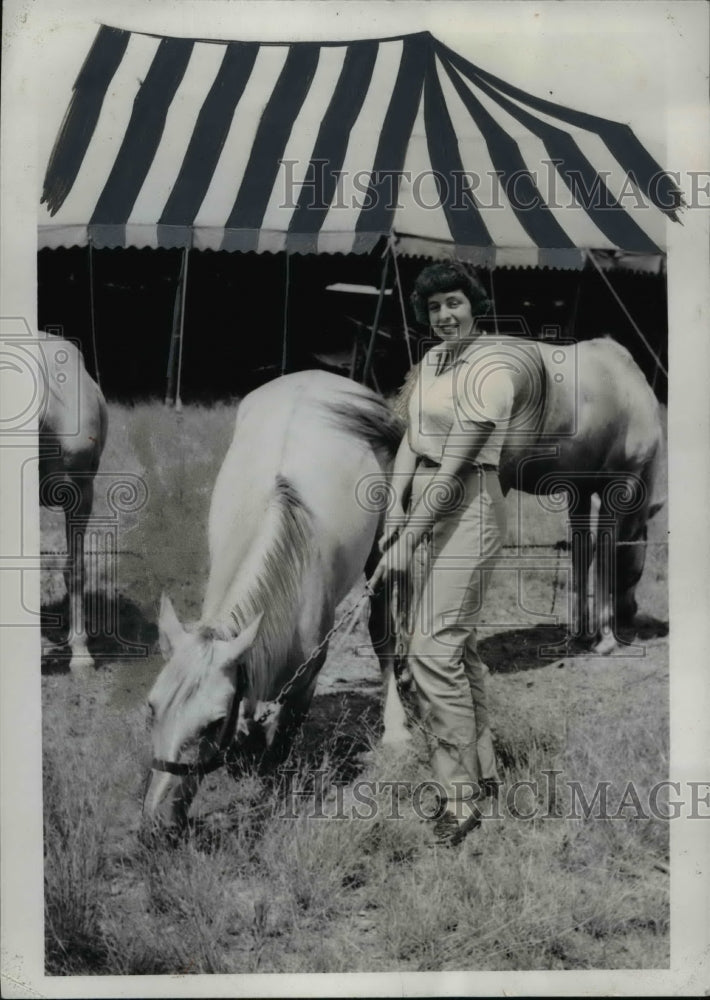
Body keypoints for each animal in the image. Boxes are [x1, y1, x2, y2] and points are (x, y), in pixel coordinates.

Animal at [142, 370, 404, 828]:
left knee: (381, 628)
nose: (156, 825)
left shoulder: (305, 681)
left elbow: (282, 740)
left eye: (211, 724)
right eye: (151, 710)